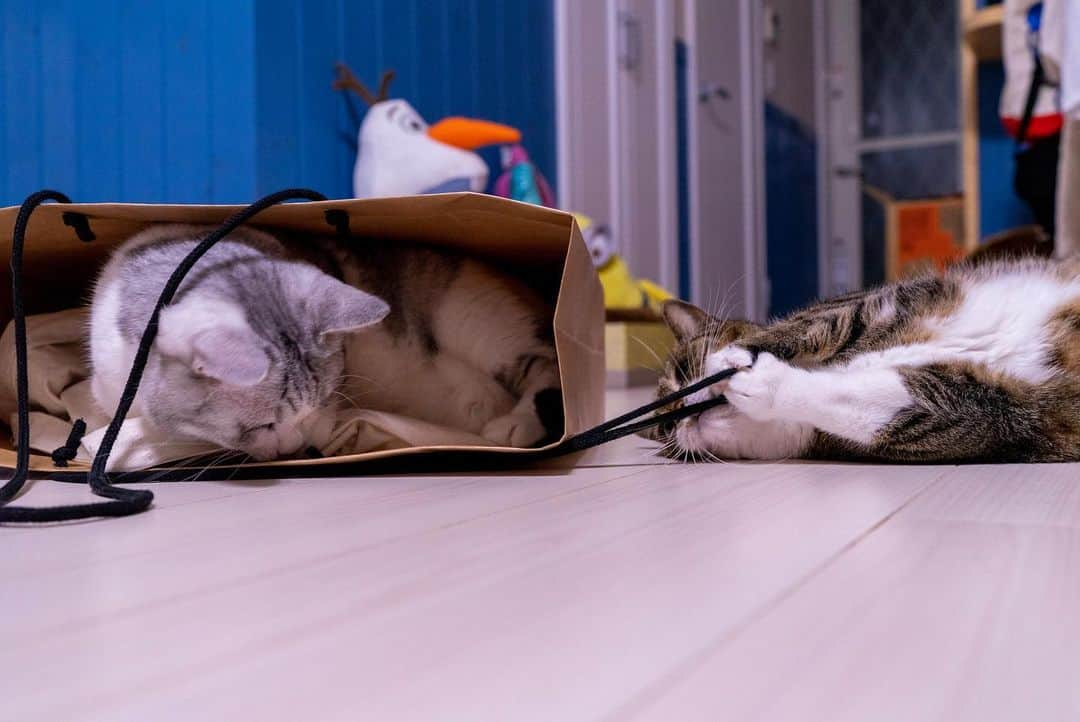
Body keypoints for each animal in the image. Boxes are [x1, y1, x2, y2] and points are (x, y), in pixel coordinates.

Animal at [89, 225, 561, 459]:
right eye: (261, 425)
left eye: (327, 398)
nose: (299, 447)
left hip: (478, 323)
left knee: (546, 365)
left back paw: (514, 425)